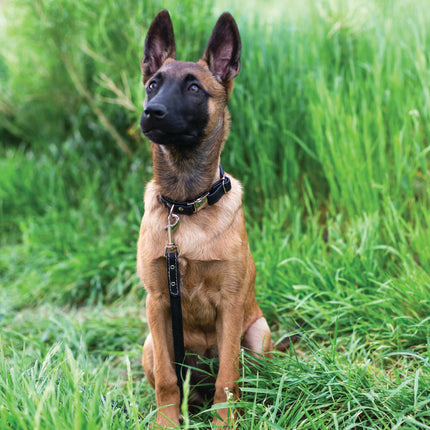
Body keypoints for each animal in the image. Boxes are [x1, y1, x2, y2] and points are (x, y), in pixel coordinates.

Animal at [138, 9, 272, 426]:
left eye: (195, 89)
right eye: (152, 85)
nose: (151, 113)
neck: (185, 205)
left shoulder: (230, 305)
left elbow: (227, 378)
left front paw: (224, 422)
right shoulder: (157, 302)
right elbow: (168, 380)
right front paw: (166, 423)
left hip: (258, 333)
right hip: (150, 343)